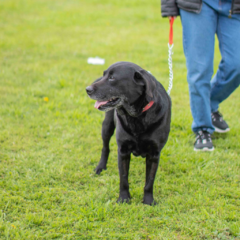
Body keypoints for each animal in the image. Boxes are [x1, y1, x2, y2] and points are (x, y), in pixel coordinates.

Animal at [86, 61, 171, 204]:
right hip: (107, 126)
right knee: (105, 148)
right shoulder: (123, 151)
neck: (136, 116)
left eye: (112, 78)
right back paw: (100, 167)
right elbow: (124, 179)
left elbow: (149, 181)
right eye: (104, 75)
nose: (87, 89)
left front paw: (148, 201)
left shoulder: (154, 154)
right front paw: (124, 199)